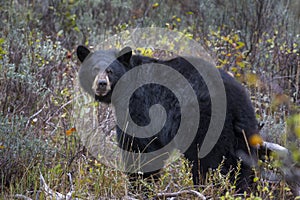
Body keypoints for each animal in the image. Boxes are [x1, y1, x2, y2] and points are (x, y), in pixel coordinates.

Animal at [76, 45, 258, 191]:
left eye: (110, 71)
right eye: (94, 68)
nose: (101, 84)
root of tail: (236, 100)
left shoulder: (139, 105)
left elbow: (138, 146)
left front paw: (141, 186)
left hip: (207, 124)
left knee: (210, 162)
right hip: (243, 133)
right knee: (240, 165)